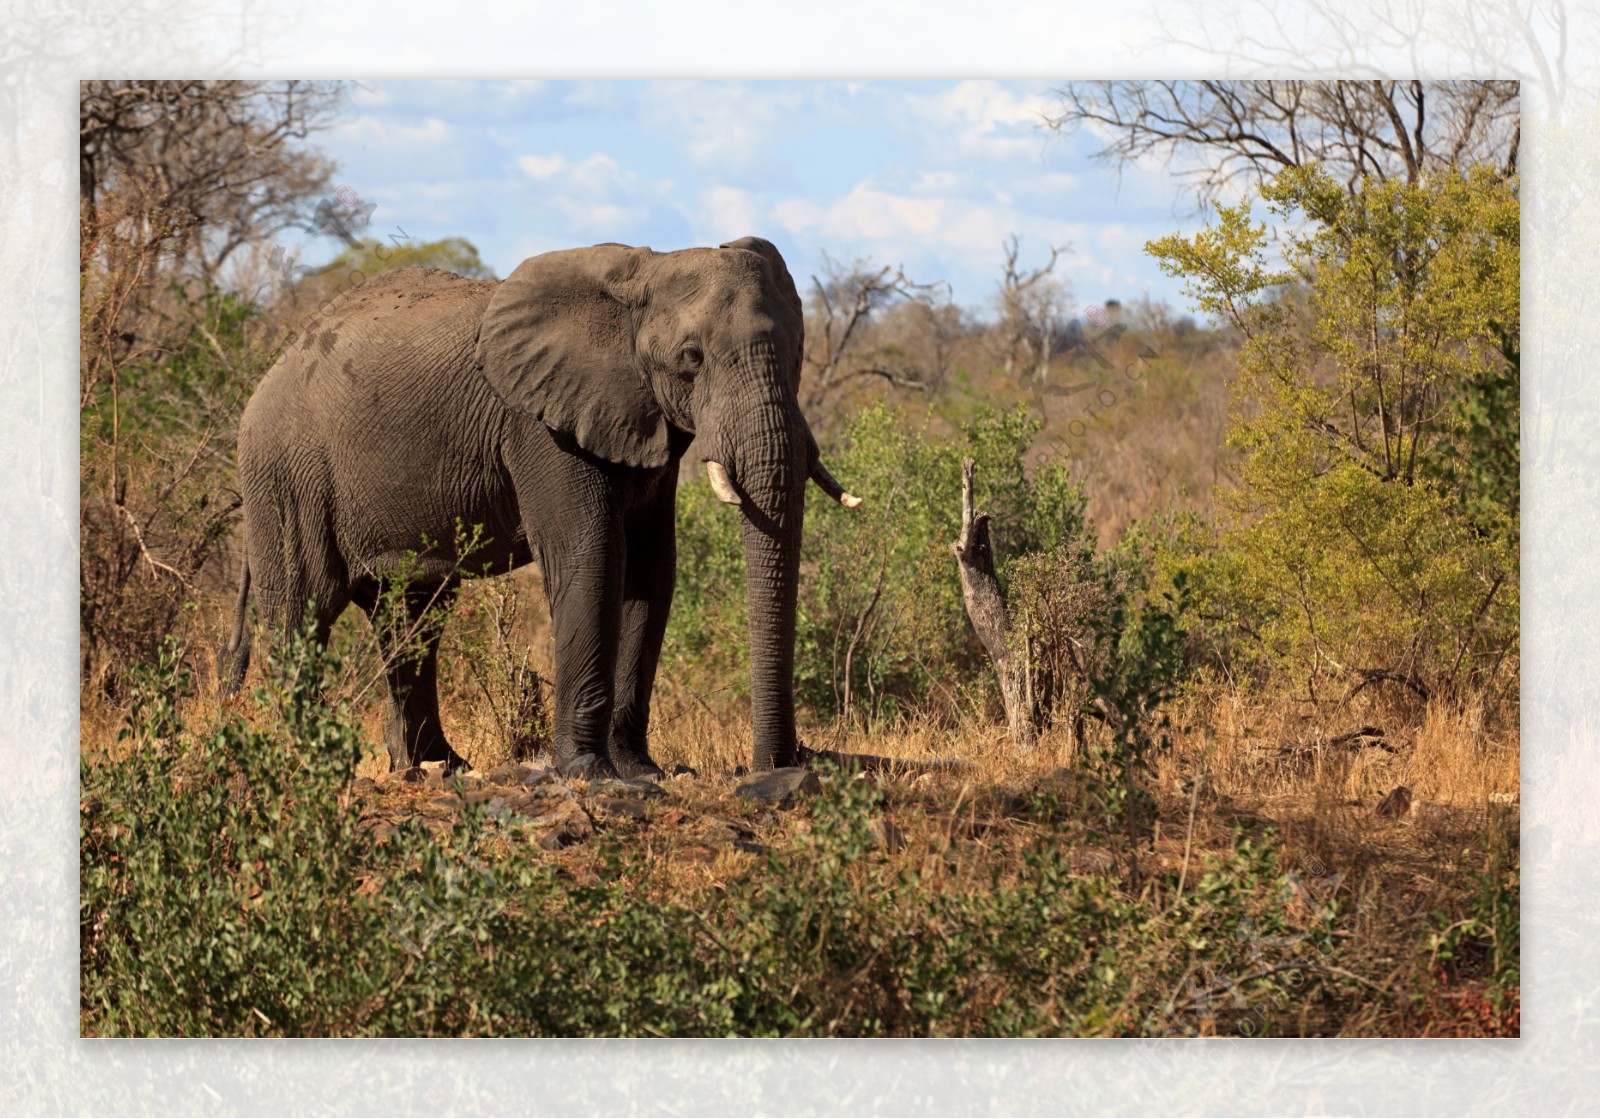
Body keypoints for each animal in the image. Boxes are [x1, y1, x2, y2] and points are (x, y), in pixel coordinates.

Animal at [222, 236, 864, 778]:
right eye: (691, 357)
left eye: (799, 352)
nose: (778, 765)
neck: (645, 270)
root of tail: (273, 367)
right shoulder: (538, 425)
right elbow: (593, 556)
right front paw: (589, 774)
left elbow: (651, 573)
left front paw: (642, 772)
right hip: (287, 474)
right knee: (303, 610)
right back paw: (305, 765)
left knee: (413, 614)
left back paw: (436, 767)